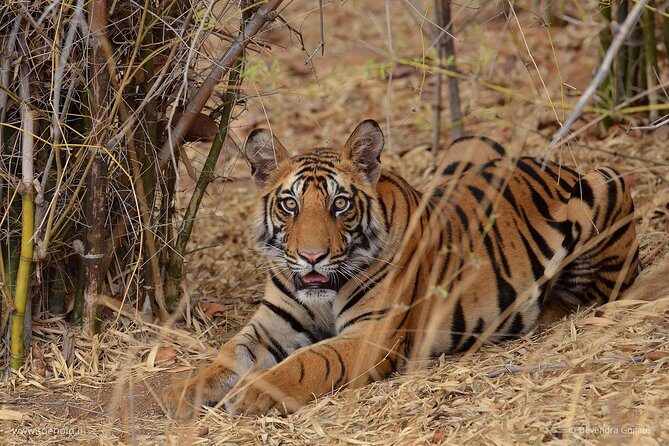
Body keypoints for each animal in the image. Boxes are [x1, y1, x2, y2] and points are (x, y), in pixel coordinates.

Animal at [164, 119, 640, 418]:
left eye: (340, 204)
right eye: (290, 205)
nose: (313, 257)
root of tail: (554, 163)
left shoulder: (370, 335)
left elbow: (307, 361)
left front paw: (249, 396)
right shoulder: (270, 326)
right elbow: (226, 356)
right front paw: (183, 392)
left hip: (604, 181)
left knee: (588, 294)